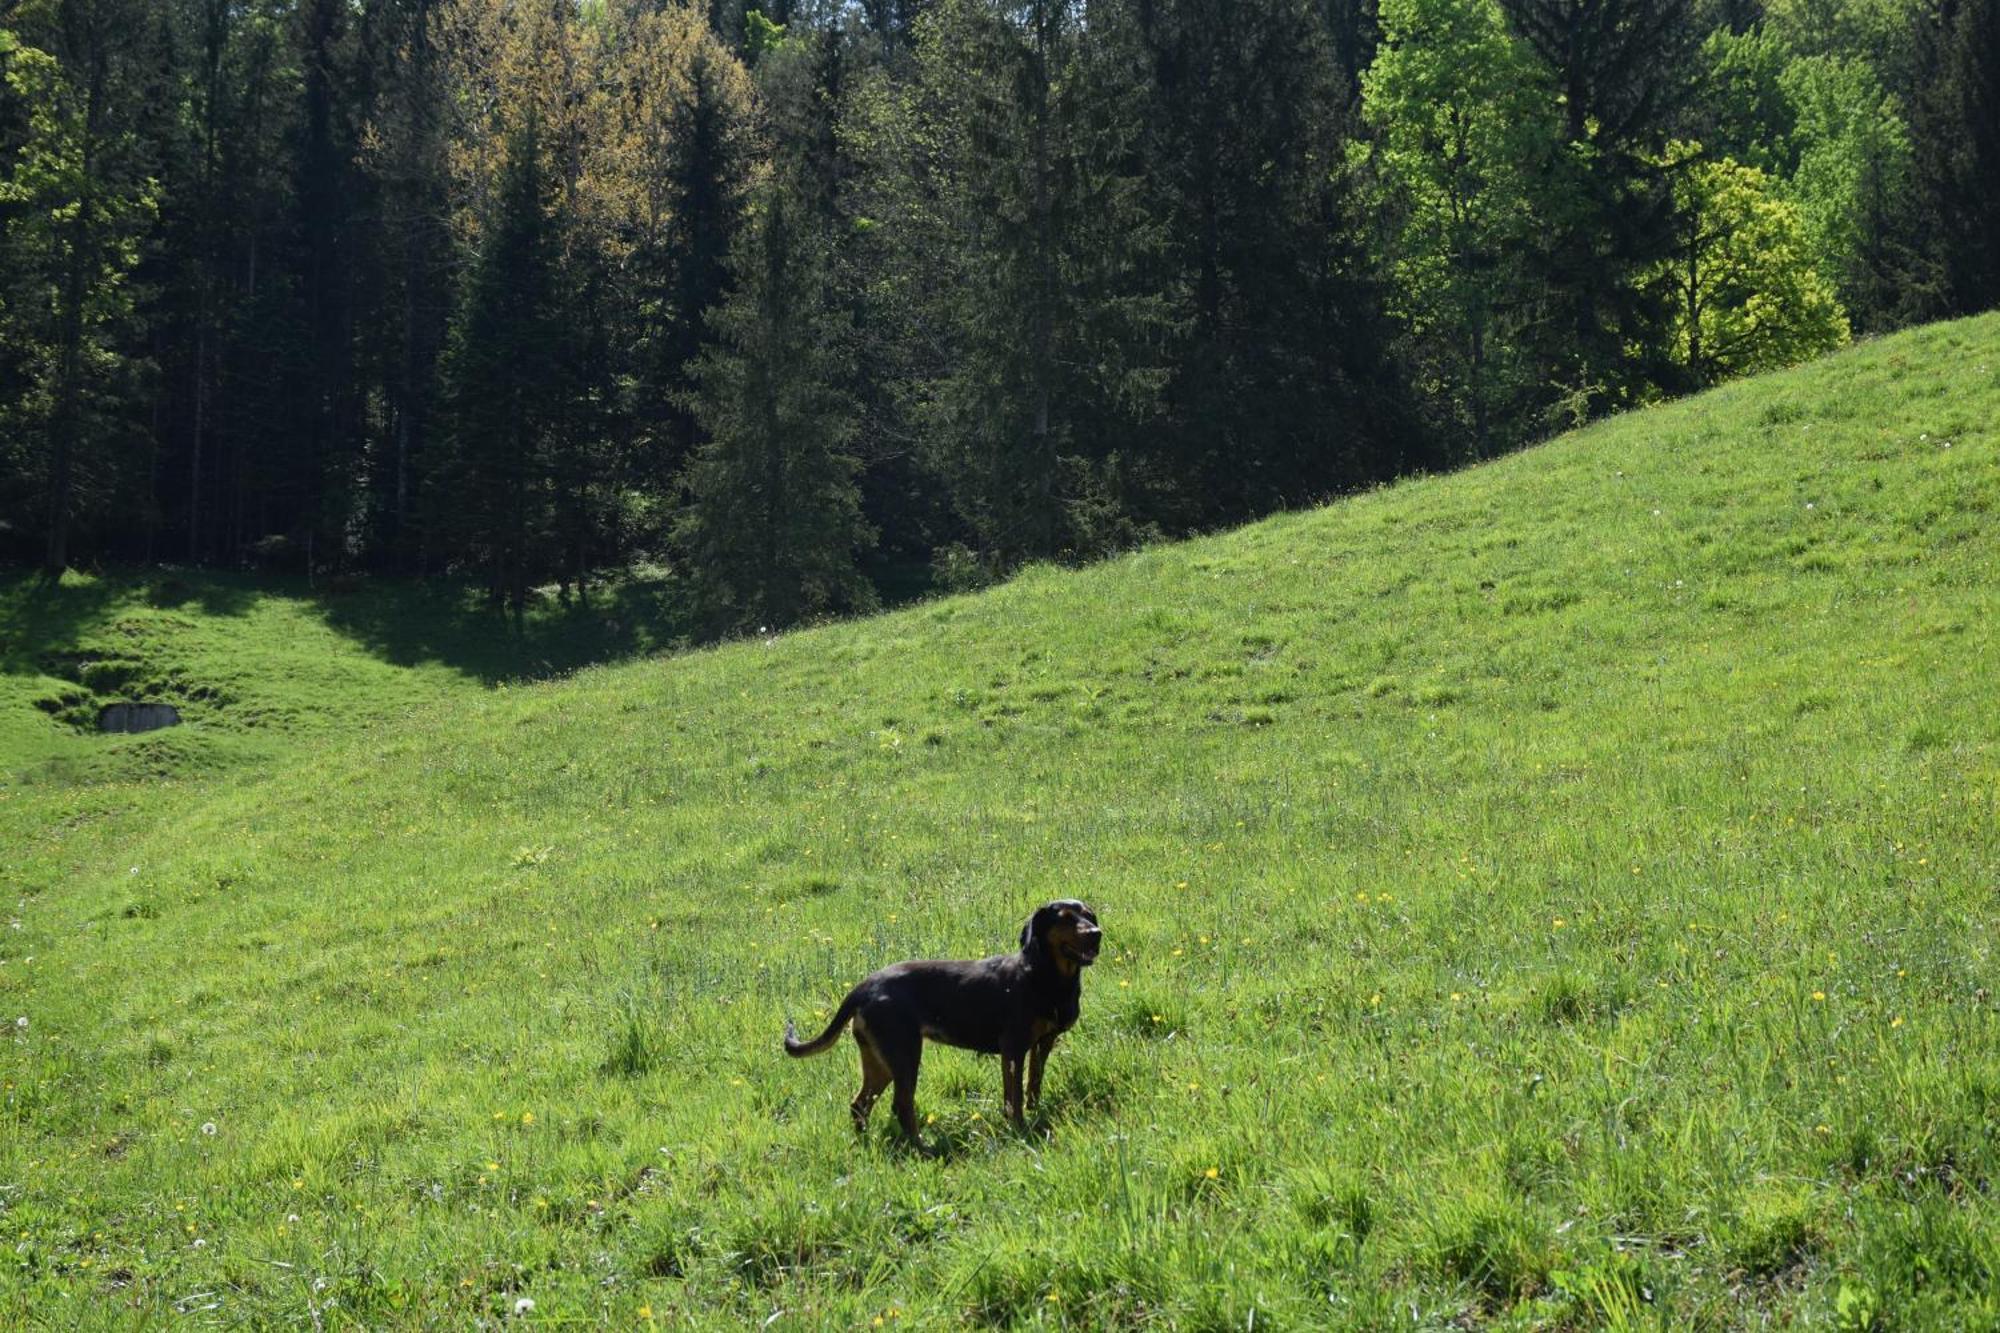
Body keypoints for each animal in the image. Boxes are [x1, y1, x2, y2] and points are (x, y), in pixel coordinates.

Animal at [780, 896, 1104, 1136]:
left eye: (1089, 916)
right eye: (1065, 918)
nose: (1096, 934)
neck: (1044, 974)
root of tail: (863, 987)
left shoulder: (1043, 1042)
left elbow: (1033, 1083)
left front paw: (1035, 1113)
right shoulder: (1012, 1048)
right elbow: (1013, 1097)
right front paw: (1020, 1129)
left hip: (879, 1059)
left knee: (860, 1104)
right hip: (904, 1054)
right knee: (901, 1106)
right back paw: (922, 1151)